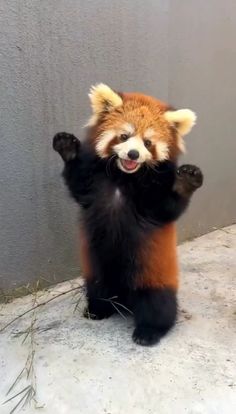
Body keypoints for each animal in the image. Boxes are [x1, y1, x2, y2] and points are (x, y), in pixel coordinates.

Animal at [53, 84, 203, 346]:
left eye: (148, 143)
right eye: (124, 136)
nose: (133, 154)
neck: (123, 177)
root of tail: (124, 299)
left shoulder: (155, 194)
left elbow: (167, 208)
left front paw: (185, 182)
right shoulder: (93, 183)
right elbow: (78, 185)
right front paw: (68, 148)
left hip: (151, 273)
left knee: (157, 304)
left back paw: (149, 331)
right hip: (96, 270)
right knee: (98, 290)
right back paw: (97, 310)